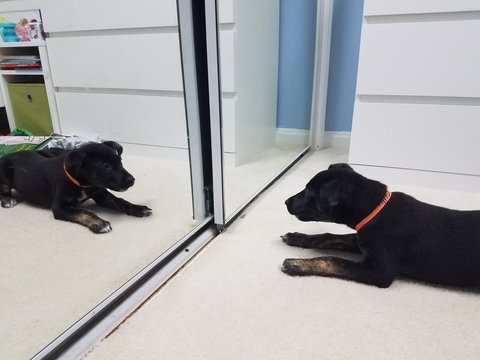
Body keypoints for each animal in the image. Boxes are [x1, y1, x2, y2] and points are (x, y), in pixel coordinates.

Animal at [0, 141, 152, 233]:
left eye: (120, 162)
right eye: (106, 166)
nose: (132, 180)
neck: (84, 184)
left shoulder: (101, 193)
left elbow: (120, 201)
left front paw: (139, 208)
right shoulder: (59, 207)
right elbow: (84, 212)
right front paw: (100, 223)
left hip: (45, 153)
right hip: (5, 174)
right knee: (3, 189)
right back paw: (7, 200)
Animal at [282, 165, 480, 288]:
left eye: (309, 191)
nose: (286, 202)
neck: (376, 209)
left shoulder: (380, 271)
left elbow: (333, 259)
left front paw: (297, 264)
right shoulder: (362, 239)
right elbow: (328, 236)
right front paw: (296, 237)